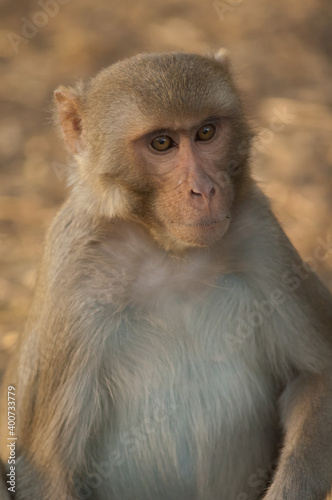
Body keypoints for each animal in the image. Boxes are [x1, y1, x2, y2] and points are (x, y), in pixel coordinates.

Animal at [0, 49, 332, 500]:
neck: (169, 253)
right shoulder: (74, 268)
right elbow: (46, 468)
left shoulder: (259, 233)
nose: (204, 190)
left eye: (206, 132)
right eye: (162, 143)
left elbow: (317, 376)